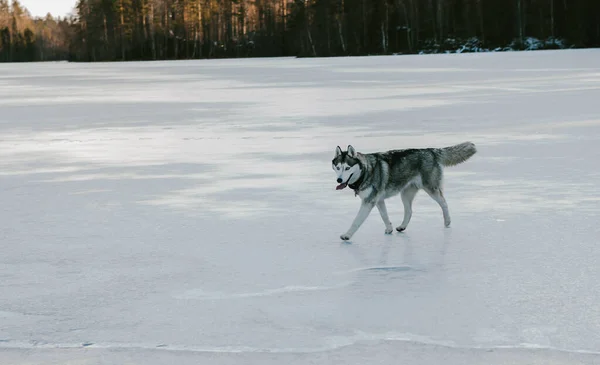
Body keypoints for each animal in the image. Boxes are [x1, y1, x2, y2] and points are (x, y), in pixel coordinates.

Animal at [330, 141, 476, 240]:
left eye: (347, 168)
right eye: (337, 167)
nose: (339, 180)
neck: (366, 171)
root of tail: (432, 150)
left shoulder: (369, 201)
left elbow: (356, 221)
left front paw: (347, 235)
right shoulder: (378, 200)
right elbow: (384, 216)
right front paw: (389, 229)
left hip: (431, 189)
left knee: (444, 203)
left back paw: (447, 222)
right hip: (405, 194)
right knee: (409, 211)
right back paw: (402, 226)